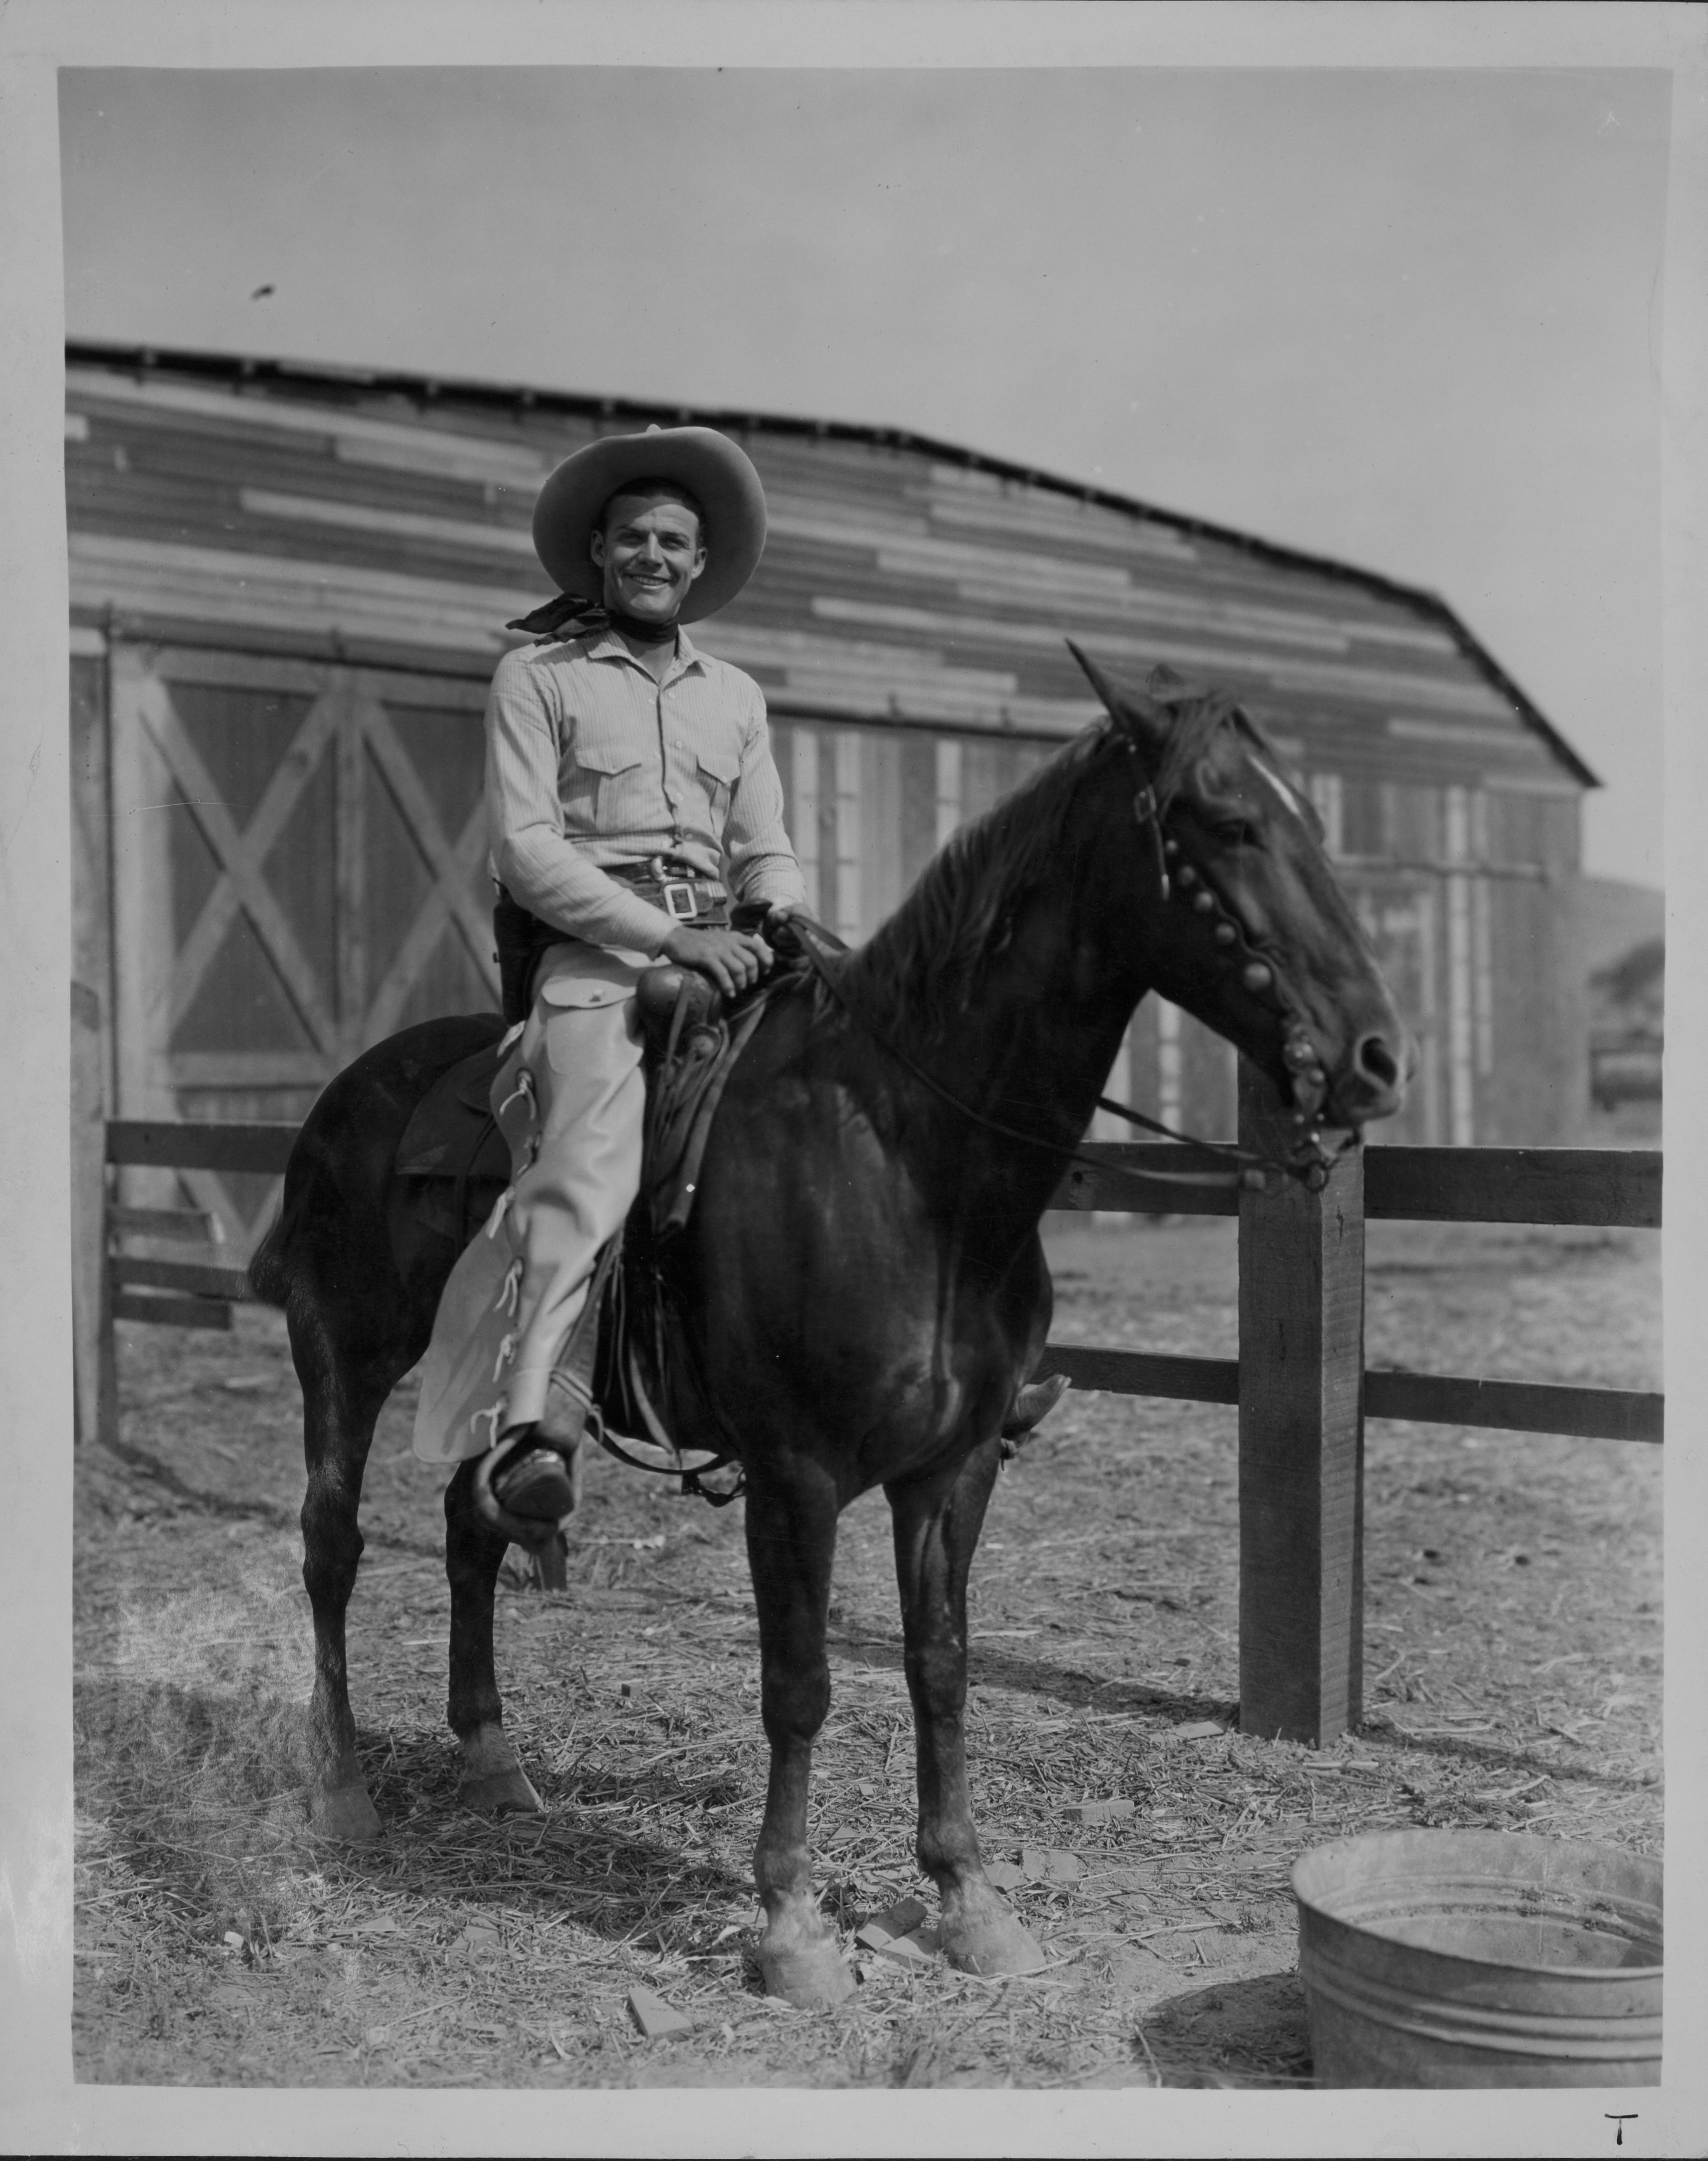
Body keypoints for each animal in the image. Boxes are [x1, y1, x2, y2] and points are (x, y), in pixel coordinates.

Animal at [244, 653, 1418, 2005]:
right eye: (1227, 824)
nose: (1377, 1055)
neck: (907, 1154)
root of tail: (350, 1092)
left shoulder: (950, 1471)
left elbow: (939, 1663)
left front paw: (967, 1897)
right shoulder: (795, 1479)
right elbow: (799, 1684)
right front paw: (790, 1922)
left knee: (472, 1522)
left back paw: (492, 1759)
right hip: (341, 1356)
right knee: (331, 1540)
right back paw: (338, 1784)